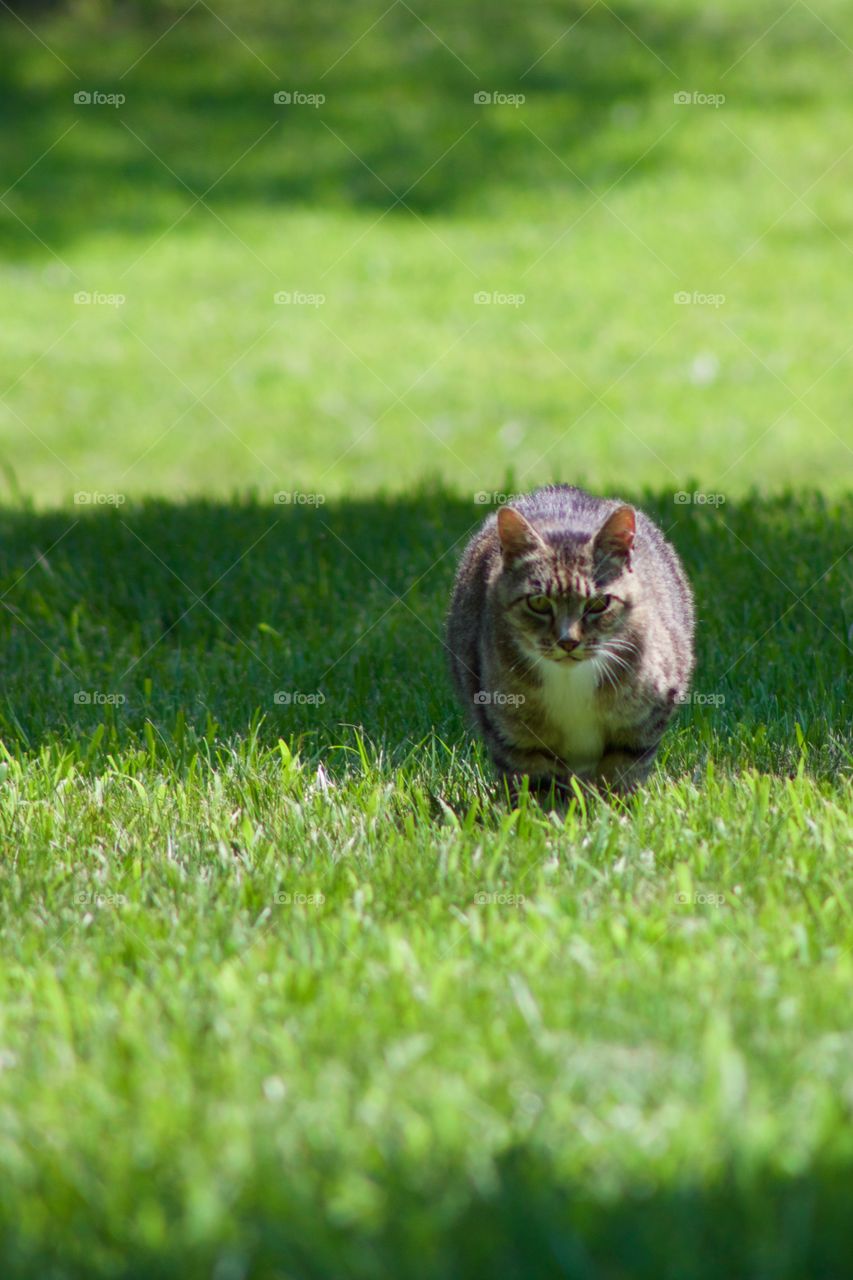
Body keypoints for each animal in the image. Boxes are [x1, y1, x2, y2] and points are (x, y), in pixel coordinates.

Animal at [445, 481, 691, 793]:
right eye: (538, 602)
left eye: (598, 604)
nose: (568, 641)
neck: (571, 679)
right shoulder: (514, 737)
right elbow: (534, 788)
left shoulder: (642, 725)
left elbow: (620, 778)